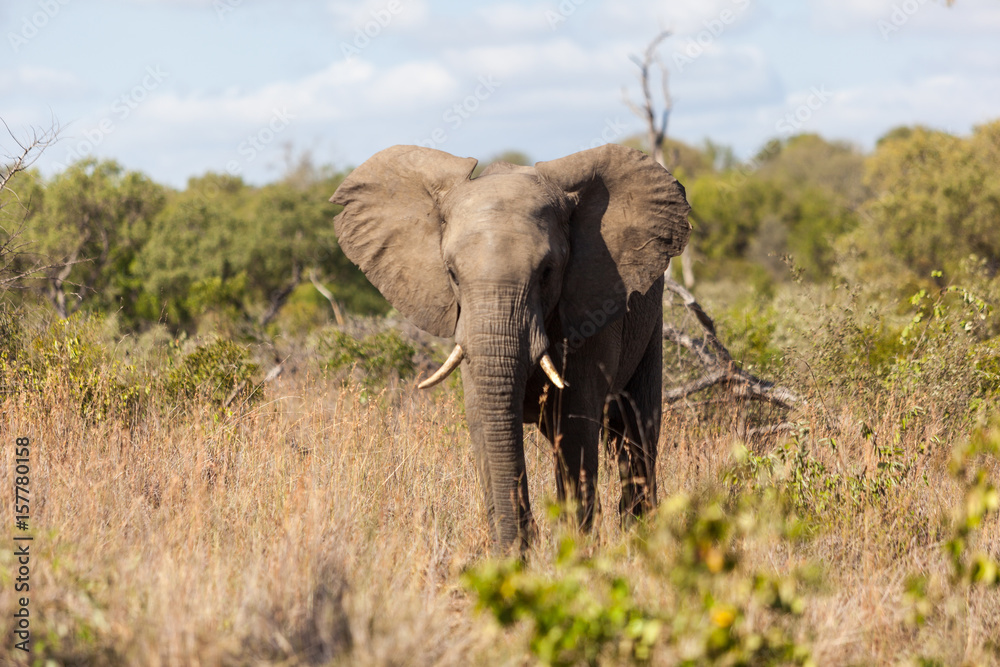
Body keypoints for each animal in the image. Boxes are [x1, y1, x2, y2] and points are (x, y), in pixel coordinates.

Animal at [331, 143, 691, 553]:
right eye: (452, 274)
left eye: (547, 272)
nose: (526, 540)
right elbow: (482, 421)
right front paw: (513, 555)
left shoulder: (590, 308)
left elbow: (575, 422)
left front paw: (573, 552)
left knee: (635, 432)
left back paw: (641, 537)